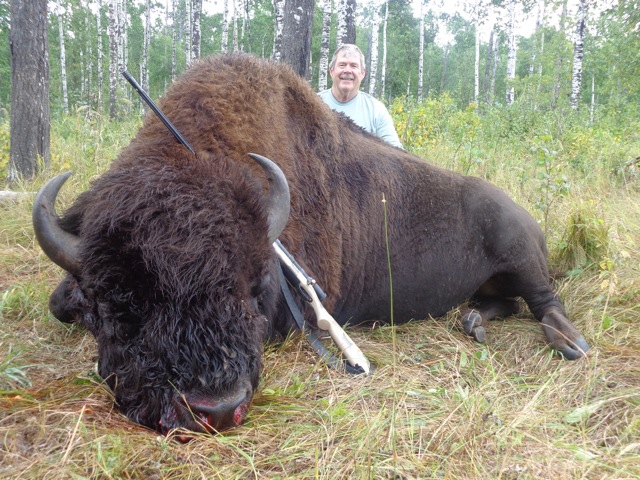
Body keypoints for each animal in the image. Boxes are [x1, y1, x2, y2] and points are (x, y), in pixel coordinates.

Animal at [33, 53, 589, 436]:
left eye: (251, 288)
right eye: (119, 303)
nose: (216, 408)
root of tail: (524, 214)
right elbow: (60, 301)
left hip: (521, 254)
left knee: (544, 301)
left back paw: (569, 342)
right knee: (502, 303)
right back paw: (473, 321)